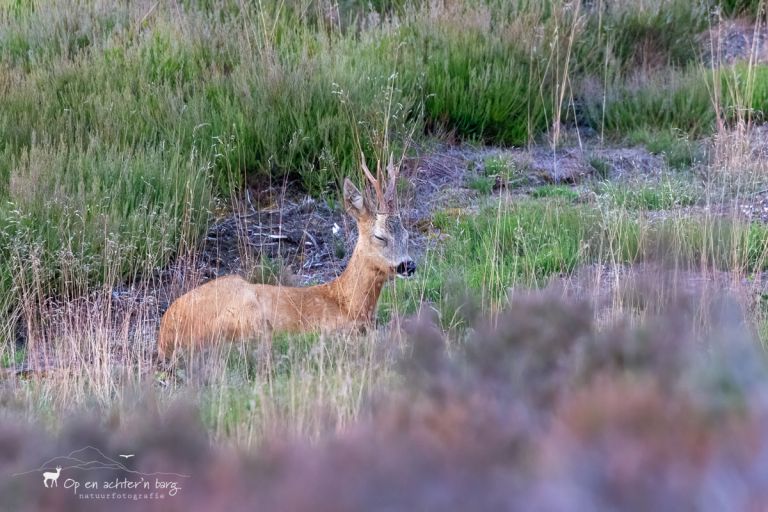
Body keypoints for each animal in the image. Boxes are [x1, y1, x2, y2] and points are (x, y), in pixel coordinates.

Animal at [158, 158, 416, 362]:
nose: (409, 265)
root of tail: (164, 337)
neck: (348, 303)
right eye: (380, 236)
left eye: (407, 234)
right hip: (247, 312)